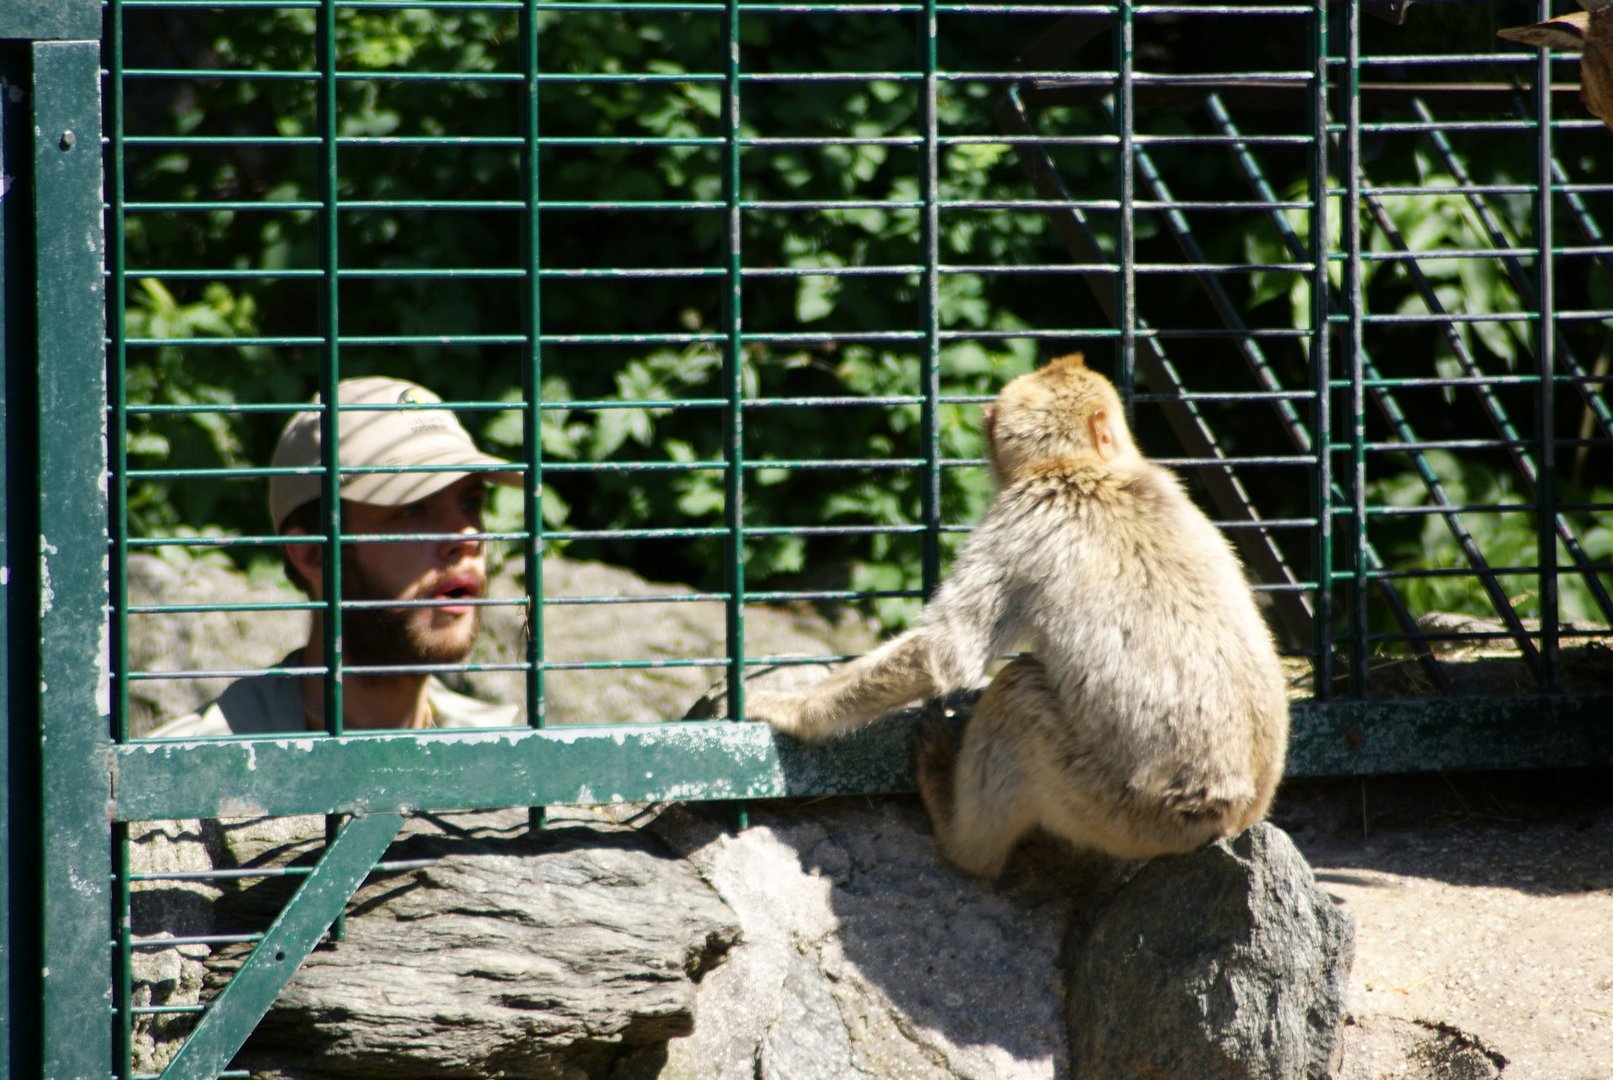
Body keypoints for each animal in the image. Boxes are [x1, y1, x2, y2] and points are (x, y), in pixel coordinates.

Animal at [748, 354, 1290, 876]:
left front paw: (784, 708)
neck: (1083, 466)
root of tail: (1230, 815)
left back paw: (961, 837)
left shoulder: (1020, 517)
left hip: (1111, 808)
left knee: (1019, 692)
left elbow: (947, 651)